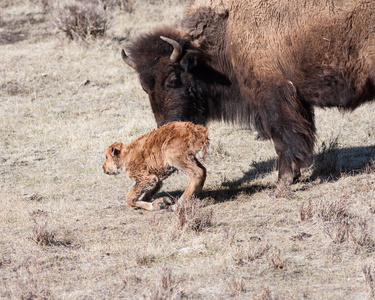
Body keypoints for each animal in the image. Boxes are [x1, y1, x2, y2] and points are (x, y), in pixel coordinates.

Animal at [122, 0, 374, 195]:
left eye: (173, 79)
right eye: (145, 87)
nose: (165, 126)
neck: (227, 33)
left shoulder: (274, 99)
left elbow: (283, 141)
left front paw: (280, 186)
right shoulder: (297, 103)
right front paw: (294, 177)